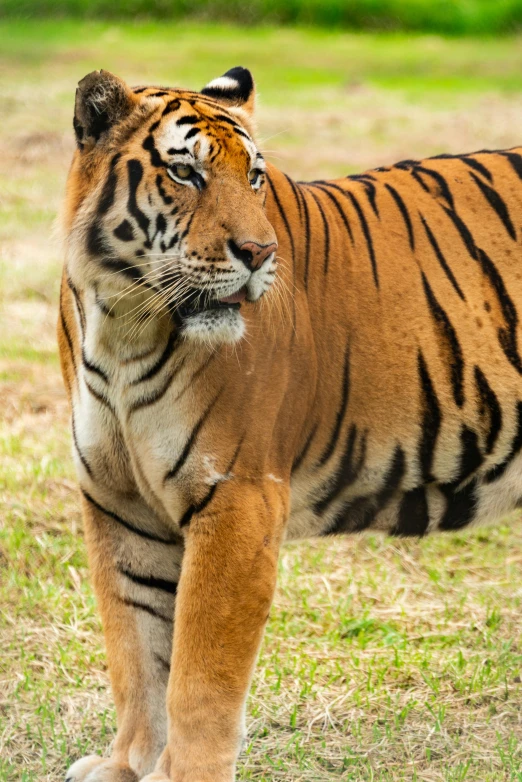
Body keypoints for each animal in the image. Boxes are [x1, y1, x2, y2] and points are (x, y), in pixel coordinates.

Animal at [60, 67, 522, 782]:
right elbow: (135, 649)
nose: (258, 252)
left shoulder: (238, 498)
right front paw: (129, 765)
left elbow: (199, 675)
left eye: (253, 177)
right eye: (185, 173)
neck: (125, 324)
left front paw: (184, 773)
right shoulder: (118, 503)